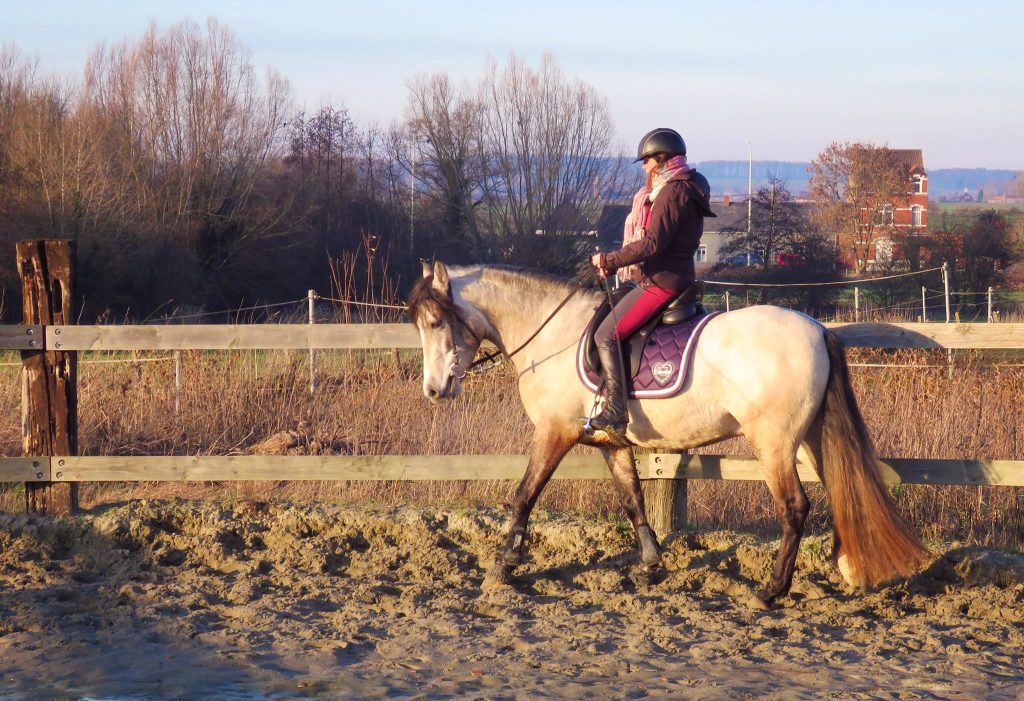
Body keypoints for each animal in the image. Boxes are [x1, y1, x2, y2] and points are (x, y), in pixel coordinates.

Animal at [405, 259, 929, 605]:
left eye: (435, 321)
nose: (432, 390)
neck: (552, 335)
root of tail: (817, 329)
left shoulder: (555, 433)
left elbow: (524, 495)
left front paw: (503, 565)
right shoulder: (609, 441)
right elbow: (632, 498)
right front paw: (650, 564)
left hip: (774, 443)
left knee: (795, 507)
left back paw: (771, 591)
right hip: (811, 439)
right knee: (841, 491)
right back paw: (848, 566)